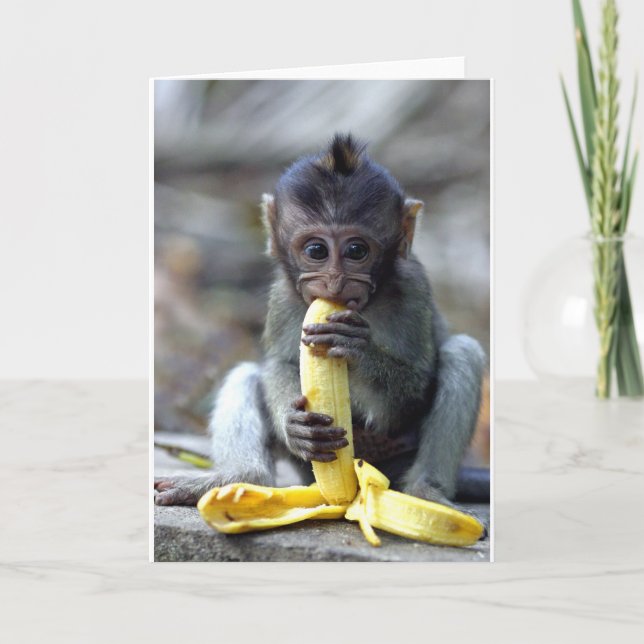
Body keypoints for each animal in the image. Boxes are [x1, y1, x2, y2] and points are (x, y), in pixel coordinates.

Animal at [154, 134, 488, 511]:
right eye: (316, 251)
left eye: (357, 251)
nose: (335, 283)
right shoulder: (282, 297)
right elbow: (279, 364)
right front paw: (294, 425)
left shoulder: (413, 289)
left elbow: (414, 389)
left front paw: (358, 349)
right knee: (246, 374)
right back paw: (238, 479)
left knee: (463, 351)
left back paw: (425, 490)